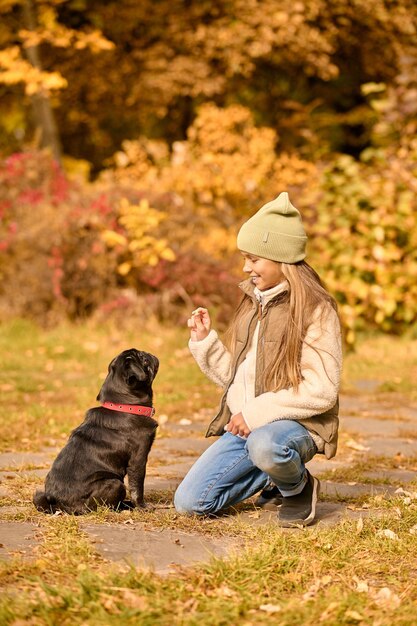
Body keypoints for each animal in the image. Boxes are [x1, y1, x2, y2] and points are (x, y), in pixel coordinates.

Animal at [32, 346, 158, 512]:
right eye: (143, 358)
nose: (148, 353)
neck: (125, 406)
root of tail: (58, 504)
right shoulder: (138, 459)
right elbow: (137, 487)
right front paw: (142, 506)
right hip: (115, 483)